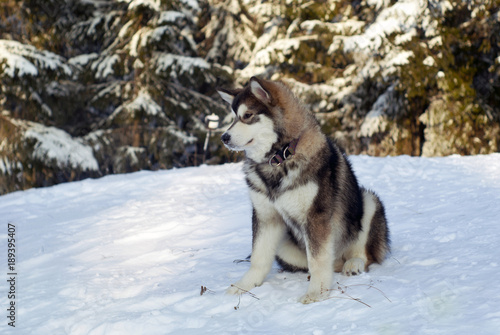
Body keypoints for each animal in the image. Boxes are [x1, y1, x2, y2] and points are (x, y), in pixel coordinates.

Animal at [219, 77, 390, 304]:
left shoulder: (315, 216)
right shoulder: (266, 216)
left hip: (368, 201)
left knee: (365, 254)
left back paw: (354, 263)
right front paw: (245, 285)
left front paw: (316, 292)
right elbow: (258, 257)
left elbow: (318, 259)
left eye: (247, 116)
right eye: (233, 118)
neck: (280, 158)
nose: (224, 137)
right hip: (284, 245)